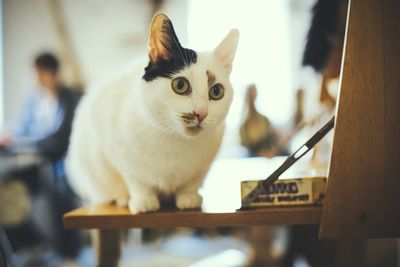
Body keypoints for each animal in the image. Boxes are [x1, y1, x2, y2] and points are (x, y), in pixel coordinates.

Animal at [67, 12, 239, 215]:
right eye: (180, 85)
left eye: (216, 91)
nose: (201, 113)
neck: (174, 143)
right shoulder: (117, 152)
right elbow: (135, 179)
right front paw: (144, 200)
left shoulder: (205, 164)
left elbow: (193, 180)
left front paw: (188, 196)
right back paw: (123, 198)